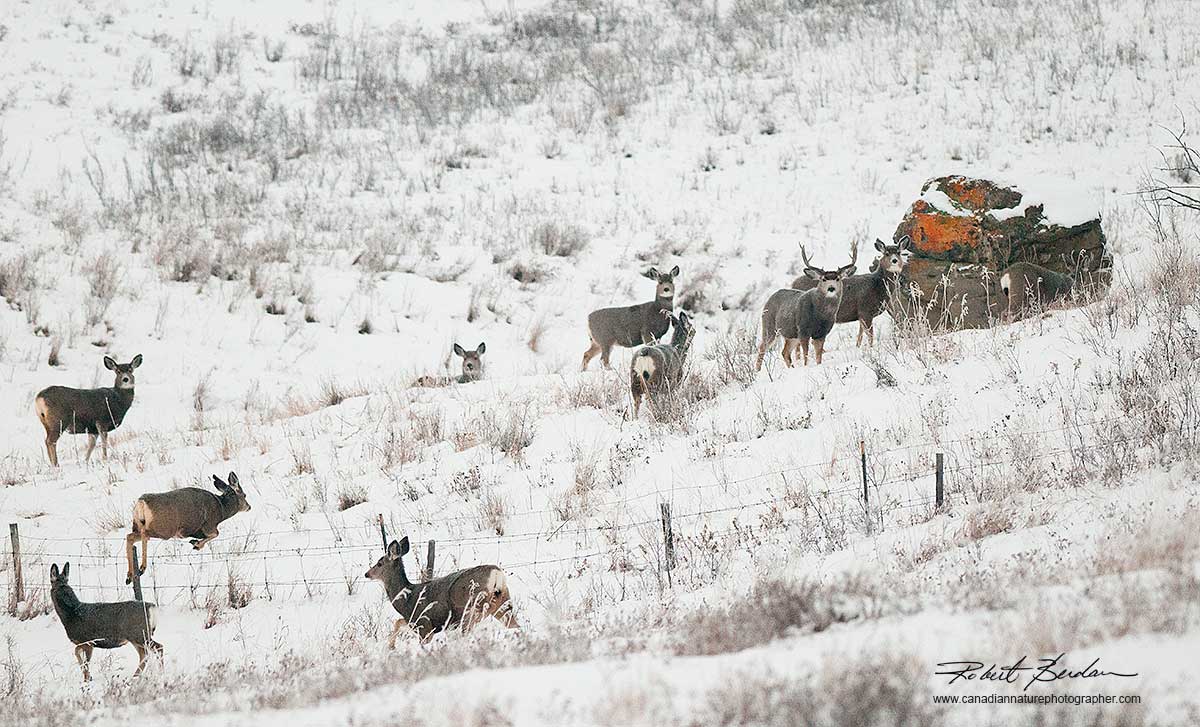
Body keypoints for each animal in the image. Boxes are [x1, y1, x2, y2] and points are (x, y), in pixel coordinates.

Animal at [365, 537, 518, 646]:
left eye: (379, 563)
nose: (367, 574)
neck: (406, 600)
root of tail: (496, 575)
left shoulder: (424, 626)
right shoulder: (414, 622)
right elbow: (398, 622)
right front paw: (391, 646)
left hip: (472, 608)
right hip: (503, 603)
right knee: (515, 626)